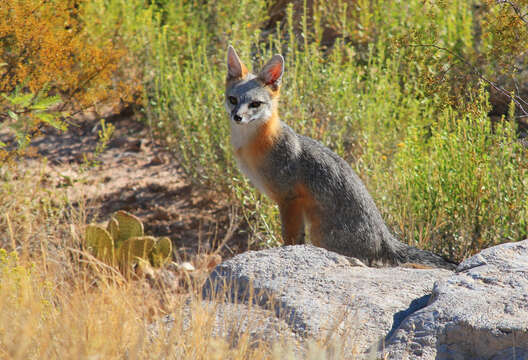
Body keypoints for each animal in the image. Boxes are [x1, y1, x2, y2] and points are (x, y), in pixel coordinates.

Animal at [225, 45, 456, 270]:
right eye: (233, 100)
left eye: (255, 104)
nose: (237, 117)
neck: (254, 145)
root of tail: (384, 237)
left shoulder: (289, 199)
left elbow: (291, 238)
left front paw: (286, 253)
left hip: (320, 234)